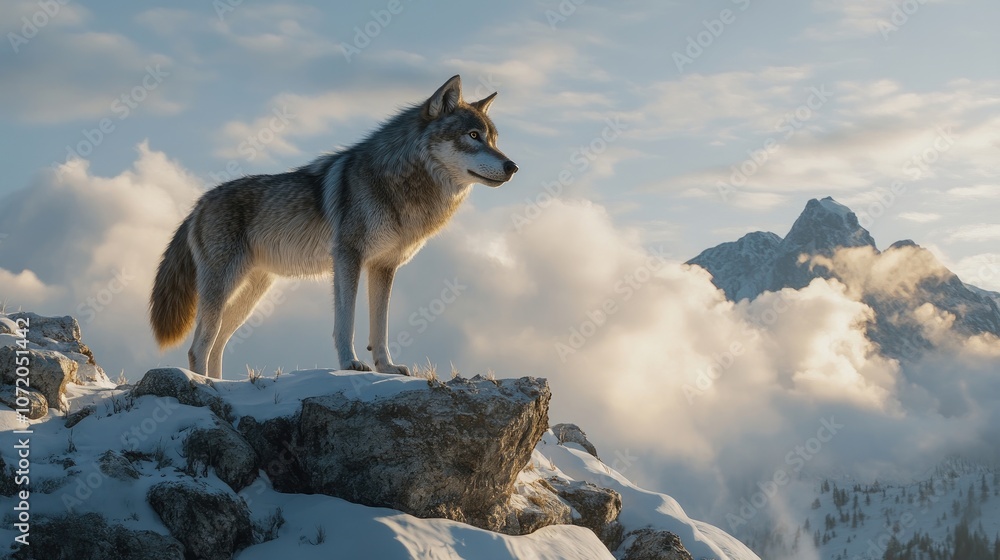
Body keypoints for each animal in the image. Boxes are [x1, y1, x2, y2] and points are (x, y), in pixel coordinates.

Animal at [149, 75, 517, 379]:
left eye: (495, 140)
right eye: (473, 136)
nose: (513, 166)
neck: (400, 183)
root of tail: (198, 203)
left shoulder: (384, 267)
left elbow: (380, 328)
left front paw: (386, 368)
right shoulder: (347, 258)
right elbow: (346, 322)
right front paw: (350, 363)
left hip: (248, 295)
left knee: (217, 344)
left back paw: (219, 384)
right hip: (224, 287)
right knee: (199, 346)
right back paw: (204, 383)